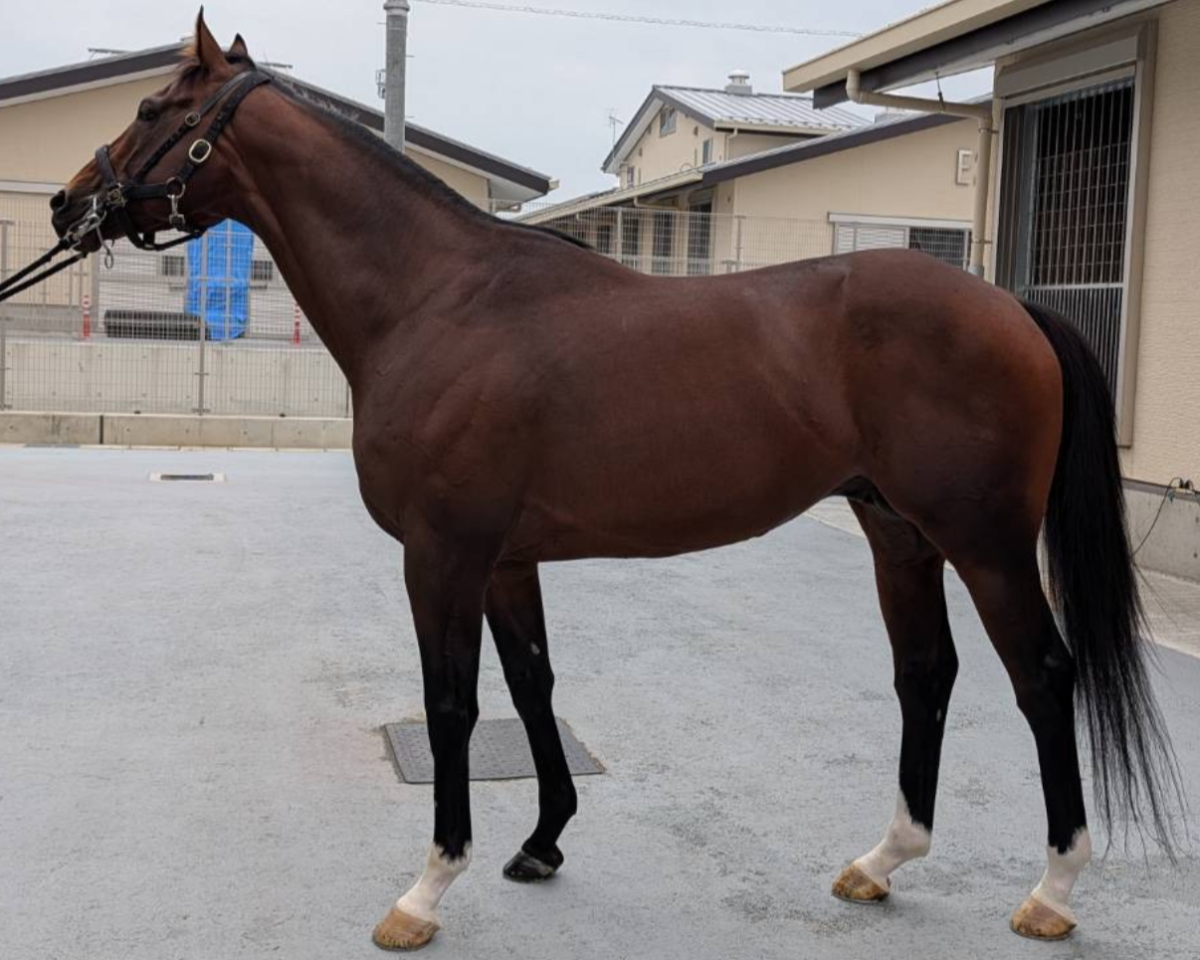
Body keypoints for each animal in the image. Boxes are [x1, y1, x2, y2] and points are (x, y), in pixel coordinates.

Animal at [48, 13, 1182, 950]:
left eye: (151, 111)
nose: (67, 202)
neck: (437, 300)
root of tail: (1012, 306)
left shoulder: (442, 556)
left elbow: (453, 703)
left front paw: (427, 889)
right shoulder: (505, 561)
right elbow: (532, 685)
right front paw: (542, 840)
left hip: (984, 540)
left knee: (1043, 678)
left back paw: (1052, 891)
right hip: (897, 531)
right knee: (926, 674)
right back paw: (881, 861)